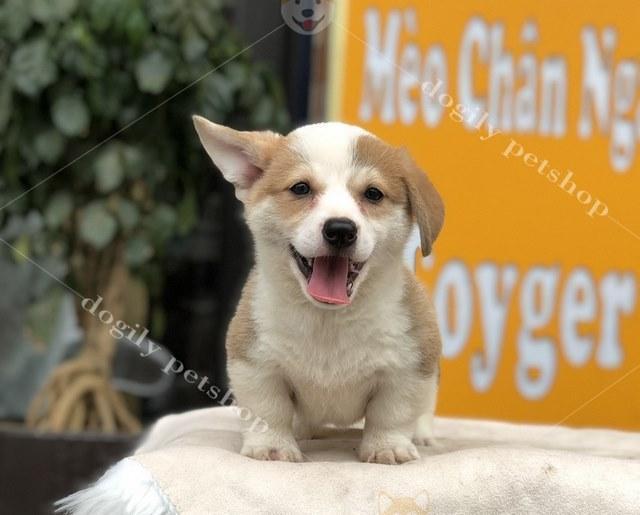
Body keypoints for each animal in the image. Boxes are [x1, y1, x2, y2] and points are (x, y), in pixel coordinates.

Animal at [194, 118, 444, 468]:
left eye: (373, 193)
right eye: (301, 188)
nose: (340, 230)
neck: (328, 319)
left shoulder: (409, 370)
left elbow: (391, 415)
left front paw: (387, 448)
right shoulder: (255, 365)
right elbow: (269, 410)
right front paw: (272, 447)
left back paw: (422, 435)